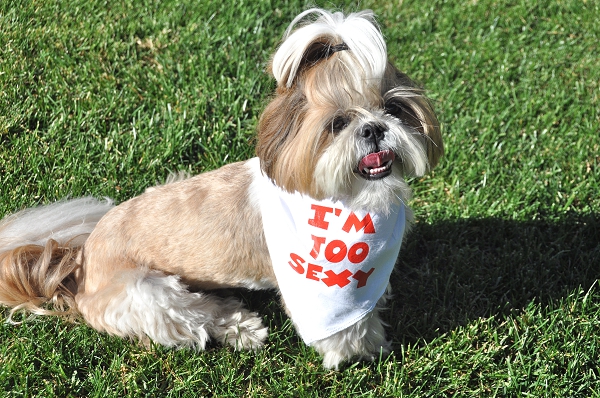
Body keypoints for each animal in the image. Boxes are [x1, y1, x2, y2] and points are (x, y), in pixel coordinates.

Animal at [0, 8, 440, 370]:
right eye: (338, 123)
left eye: (394, 109)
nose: (374, 128)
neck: (352, 202)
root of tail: (79, 262)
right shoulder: (325, 291)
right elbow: (346, 329)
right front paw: (365, 349)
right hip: (146, 295)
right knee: (194, 315)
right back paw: (242, 329)